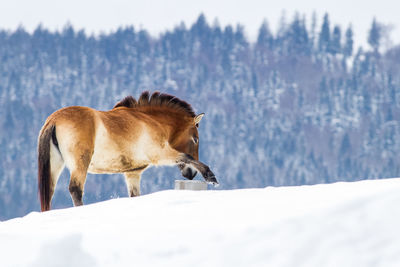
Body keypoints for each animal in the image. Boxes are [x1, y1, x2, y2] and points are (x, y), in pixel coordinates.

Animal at [37, 91, 219, 213]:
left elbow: (135, 195)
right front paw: (211, 177)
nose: (190, 175)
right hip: (80, 163)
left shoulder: (133, 174)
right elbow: (185, 156)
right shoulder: (160, 154)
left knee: (50, 193)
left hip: (56, 166)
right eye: (195, 139)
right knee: (75, 189)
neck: (150, 121)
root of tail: (53, 120)